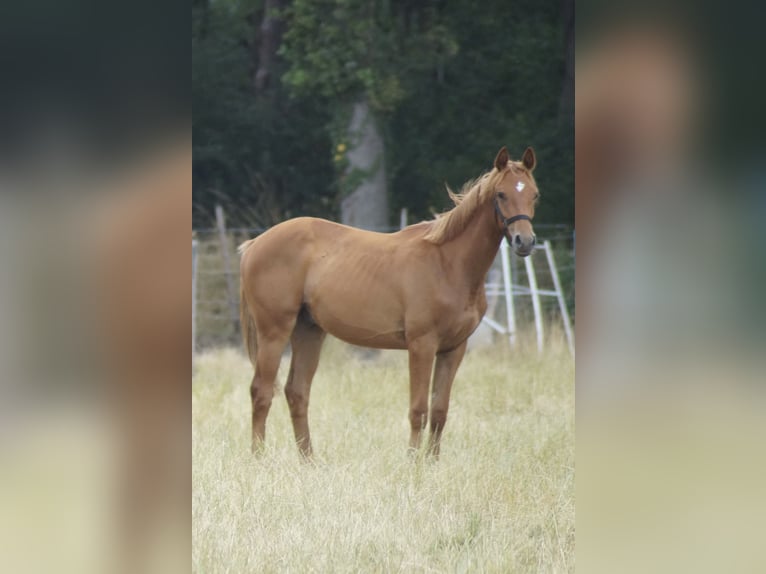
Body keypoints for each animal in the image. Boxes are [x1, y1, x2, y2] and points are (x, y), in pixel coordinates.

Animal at [238, 146, 539, 458]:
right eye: (501, 194)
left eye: (534, 195)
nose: (525, 241)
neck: (447, 263)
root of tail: (255, 244)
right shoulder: (422, 345)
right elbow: (418, 409)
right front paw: (413, 462)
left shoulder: (454, 348)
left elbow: (439, 412)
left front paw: (432, 462)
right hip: (274, 332)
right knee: (261, 392)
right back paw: (259, 458)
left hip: (308, 332)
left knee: (297, 392)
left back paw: (309, 461)